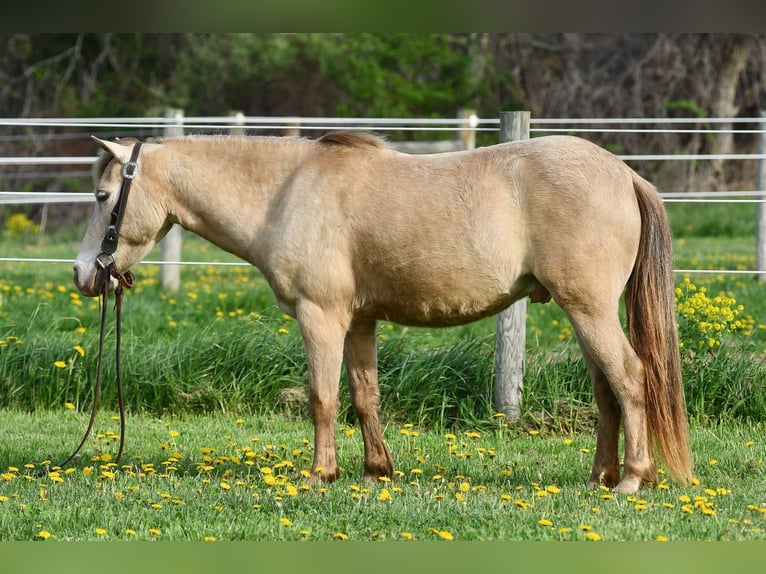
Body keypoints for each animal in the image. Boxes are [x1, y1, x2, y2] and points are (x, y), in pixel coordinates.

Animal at [73, 131, 692, 494]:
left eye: (103, 197)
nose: (84, 274)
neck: (285, 191)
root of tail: (624, 173)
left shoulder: (320, 316)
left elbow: (323, 398)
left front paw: (321, 472)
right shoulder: (359, 321)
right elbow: (364, 395)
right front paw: (377, 470)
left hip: (589, 311)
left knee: (631, 379)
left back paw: (631, 480)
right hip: (584, 314)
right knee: (607, 391)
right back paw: (600, 476)